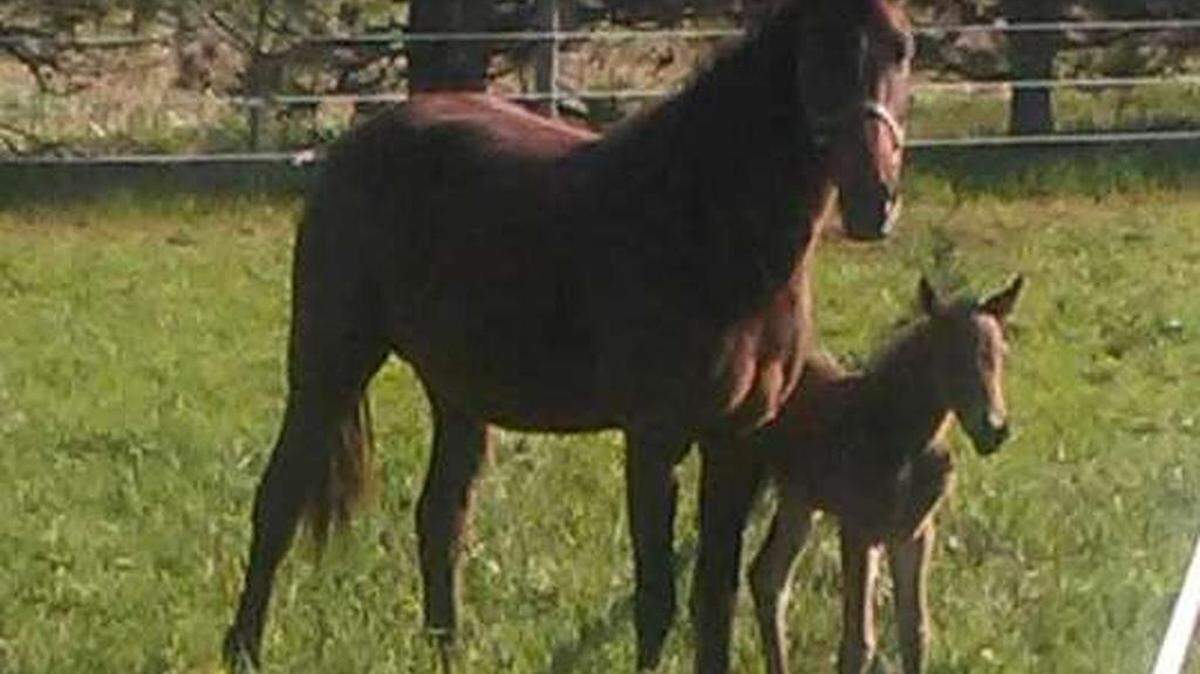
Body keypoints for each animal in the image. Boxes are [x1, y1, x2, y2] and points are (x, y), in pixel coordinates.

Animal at [222, 1, 914, 672]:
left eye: (903, 48)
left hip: (460, 393)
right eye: (819, 45)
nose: (874, 201)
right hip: (330, 363)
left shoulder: (738, 441)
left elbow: (714, 599)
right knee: (279, 499)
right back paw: (243, 649)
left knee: (440, 518)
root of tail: (352, 149)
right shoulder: (655, 438)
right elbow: (656, 597)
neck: (703, 224)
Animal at [736, 275, 1025, 674]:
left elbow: (915, 634)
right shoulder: (859, 530)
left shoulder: (914, 534)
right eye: (948, 356)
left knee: (767, 577)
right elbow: (859, 643)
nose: (994, 430)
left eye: (1000, 355)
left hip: (799, 500)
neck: (902, 436)